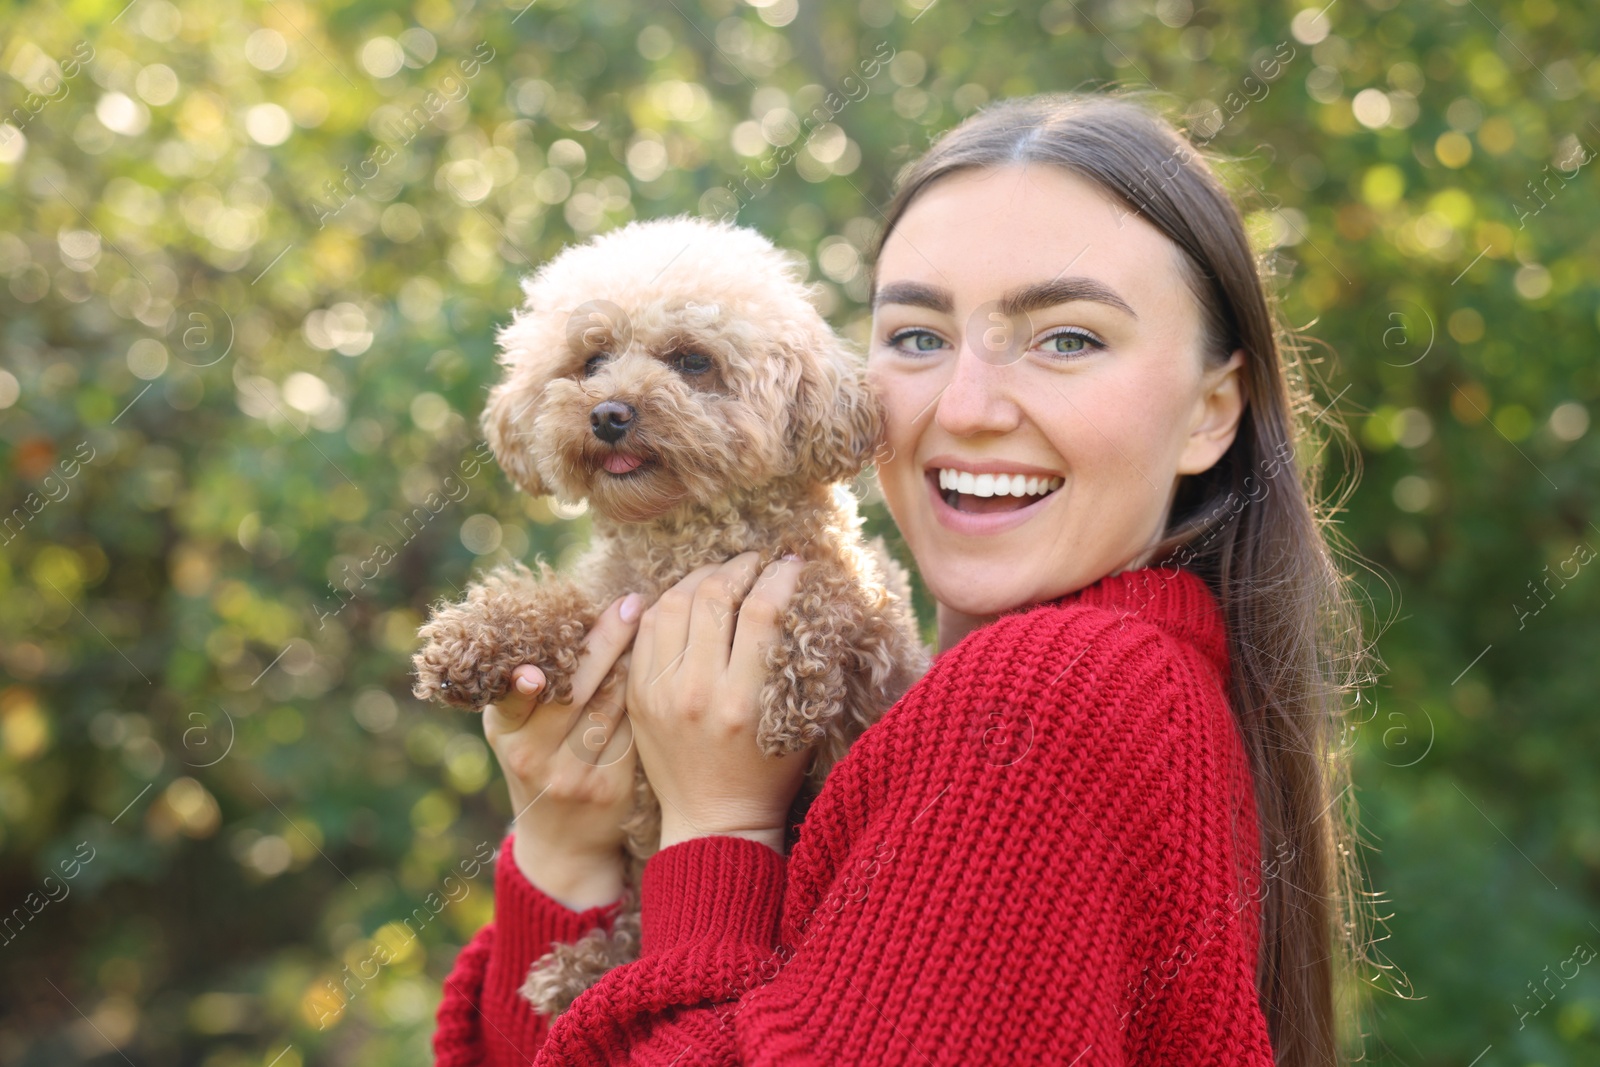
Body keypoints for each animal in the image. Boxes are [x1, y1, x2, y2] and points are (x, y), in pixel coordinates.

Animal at [412, 214, 934, 1017]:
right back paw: (579, 969)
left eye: (693, 361)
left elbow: (826, 595)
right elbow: (556, 601)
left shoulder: (865, 625)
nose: (608, 413)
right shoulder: (615, 602)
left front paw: (789, 688)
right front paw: (473, 639)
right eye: (592, 359)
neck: (685, 540)